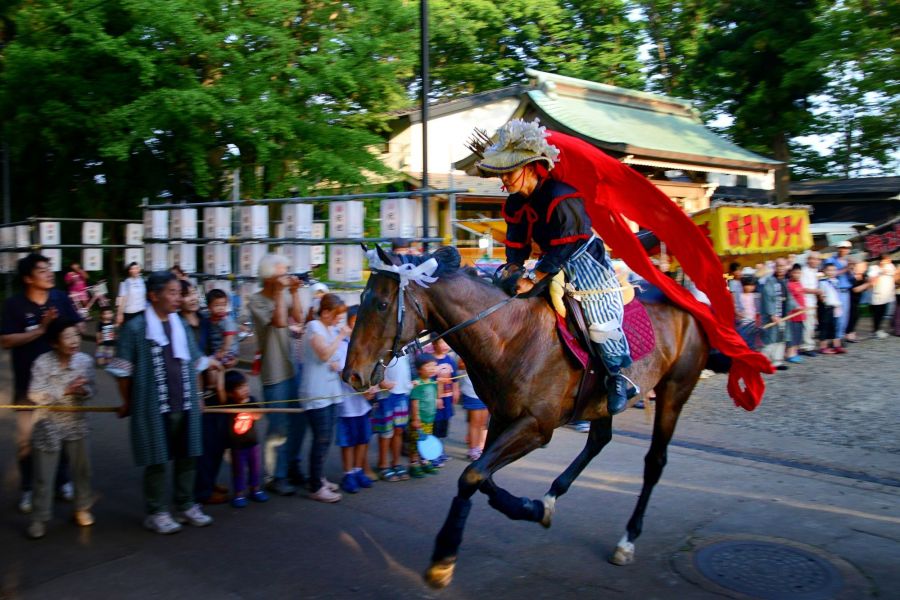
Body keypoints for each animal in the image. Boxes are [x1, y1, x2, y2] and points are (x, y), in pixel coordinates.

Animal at [344, 245, 712, 592]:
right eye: (361, 299)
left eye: (381, 304)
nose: (352, 374)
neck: (508, 335)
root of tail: (687, 297)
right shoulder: (502, 416)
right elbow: (482, 476)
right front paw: (532, 507)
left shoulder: (536, 426)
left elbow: (472, 476)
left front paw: (443, 558)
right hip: (602, 403)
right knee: (598, 440)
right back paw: (552, 495)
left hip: (674, 389)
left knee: (654, 462)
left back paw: (627, 539)